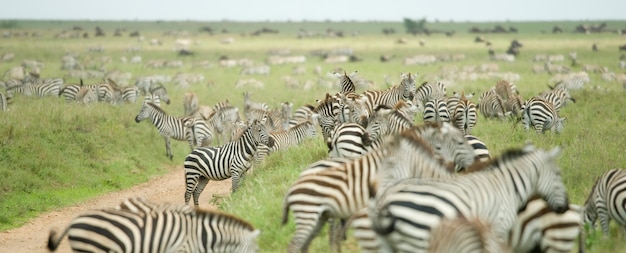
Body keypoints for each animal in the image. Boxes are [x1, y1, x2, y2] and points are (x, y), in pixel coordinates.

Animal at [368, 144, 568, 253]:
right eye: (558, 174)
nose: (565, 206)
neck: (504, 184)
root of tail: (385, 201)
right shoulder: (498, 227)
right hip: (418, 240)